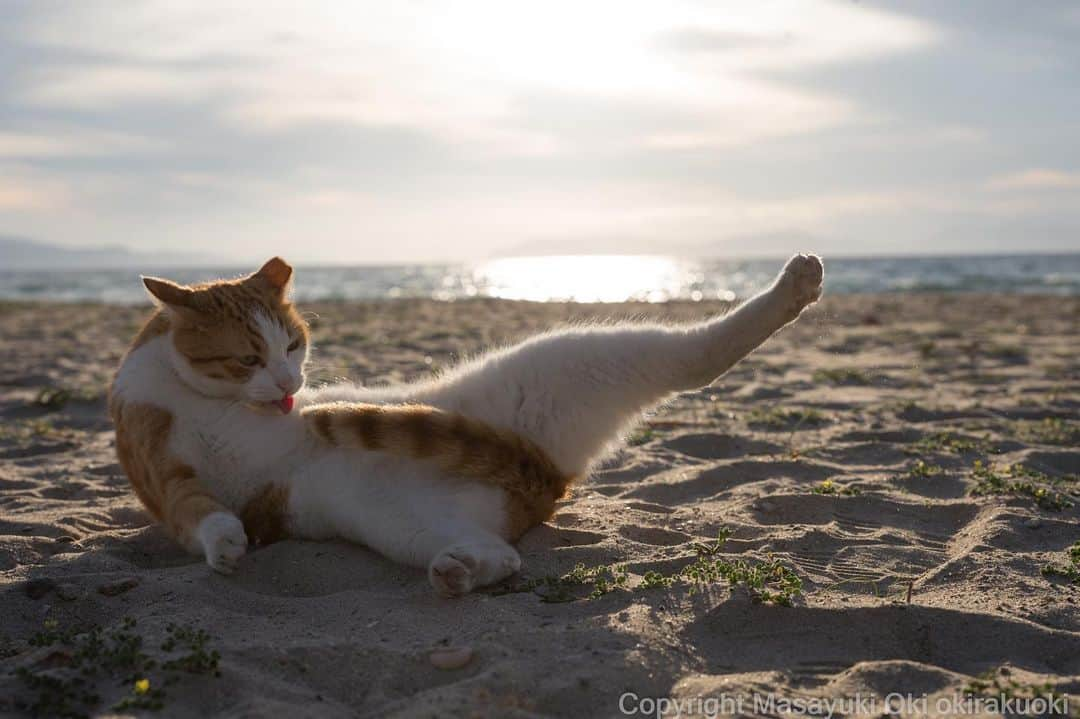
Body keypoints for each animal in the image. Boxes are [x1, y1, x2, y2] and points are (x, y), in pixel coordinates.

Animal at [109, 251, 820, 591]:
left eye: (294, 347)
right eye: (249, 358)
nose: (293, 389)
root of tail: (537, 477)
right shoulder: (161, 471)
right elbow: (198, 510)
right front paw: (225, 544)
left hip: (570, 358)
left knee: (698, 354)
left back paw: (794, 288)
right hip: (406, 522)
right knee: (501, 556)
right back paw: (461, 572)